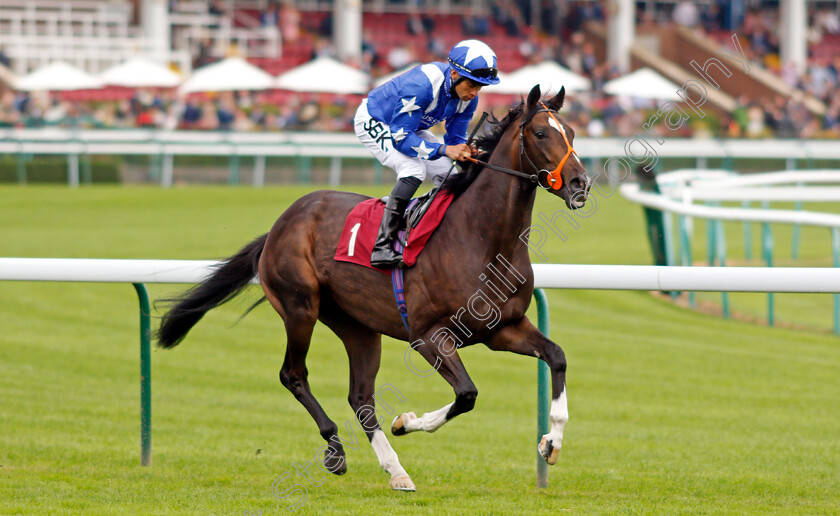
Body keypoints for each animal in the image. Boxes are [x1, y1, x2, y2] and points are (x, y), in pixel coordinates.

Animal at [158, 85, 592, 492]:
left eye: (570, 132)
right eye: (541, 133)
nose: (580, 183)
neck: (480, 237)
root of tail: (282, 223)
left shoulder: (502, 328)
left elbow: (557, 356)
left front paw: (551, 443)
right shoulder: (429, 335)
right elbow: (467, 394)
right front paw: (407, 421)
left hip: (358, 326)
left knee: (361, 397)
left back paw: (396, 470)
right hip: (301, 307)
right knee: (293, 374)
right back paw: (335, 449)